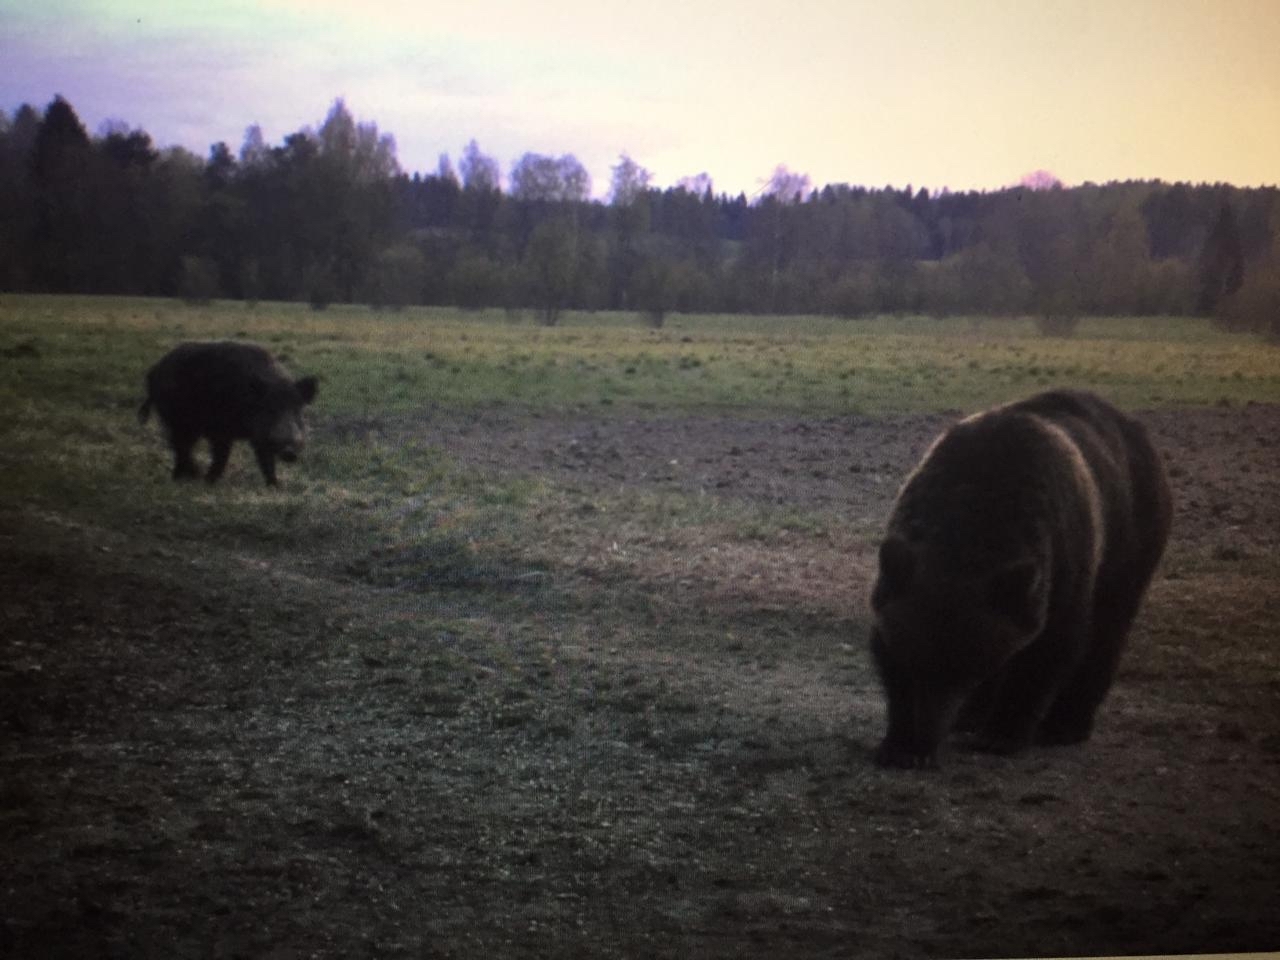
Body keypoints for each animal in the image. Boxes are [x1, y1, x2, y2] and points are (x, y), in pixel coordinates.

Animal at [138, 340, 320, 488]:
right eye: (270, 409)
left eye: (297, 409)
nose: (290, 452)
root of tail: (154, 371)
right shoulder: (220, 430)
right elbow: (221, 456)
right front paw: (209, 481)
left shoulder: (259, 437)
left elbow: (266, 461)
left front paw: (275, 486)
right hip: (176, 419)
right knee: (179, 445)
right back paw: (189, 476)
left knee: (182, 446)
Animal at [870, 386, 1172, 773]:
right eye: (917, 658)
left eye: (965, 670)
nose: (927, 733)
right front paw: (902, 744)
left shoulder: (1061, 564)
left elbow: (1048, 650)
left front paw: (1001, 735)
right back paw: (972, 716)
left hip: (1130, 540)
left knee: (1107, 631)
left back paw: (1065, 725)